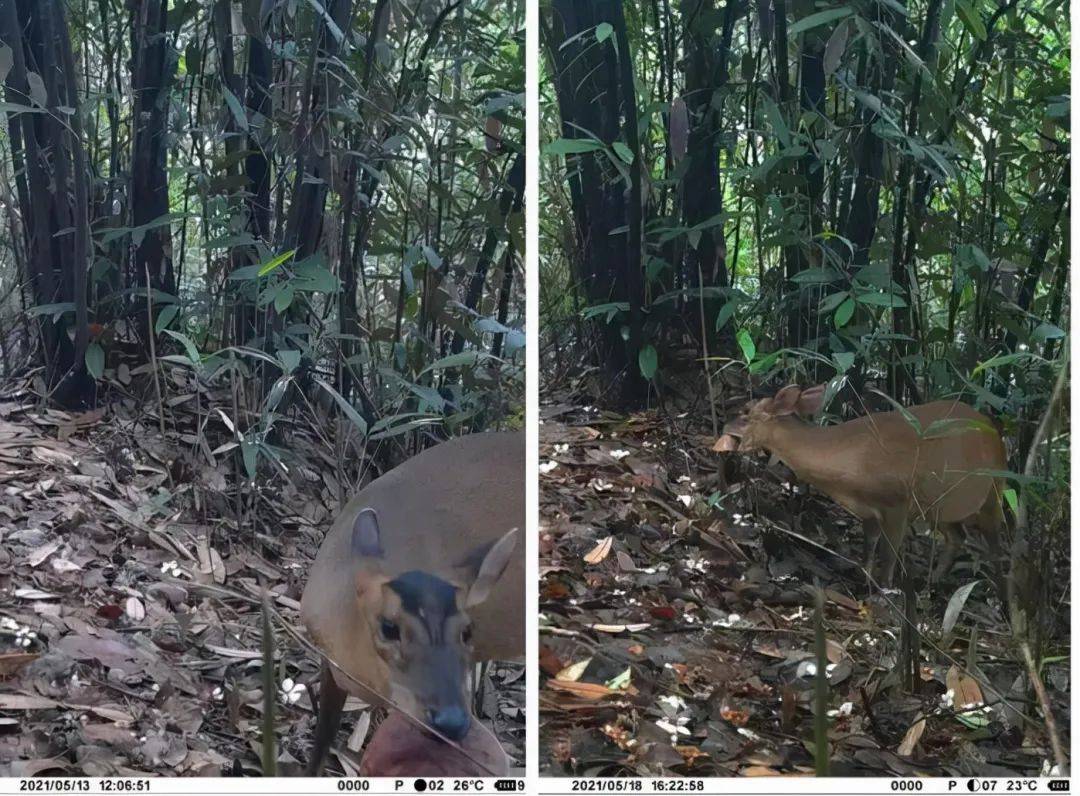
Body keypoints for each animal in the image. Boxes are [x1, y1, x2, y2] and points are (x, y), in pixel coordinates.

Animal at [721, 384, 1006, 583]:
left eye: (746, 412)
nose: (724, 427)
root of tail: (996, 433)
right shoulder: (869, 508)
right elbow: (869, 548)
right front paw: (866, 580)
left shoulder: (898, 501)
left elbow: (889, 554)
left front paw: (885, 589)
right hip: (941, 506)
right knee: (958, 536)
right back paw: (935, 579)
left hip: (994, 491)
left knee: (995, 544)